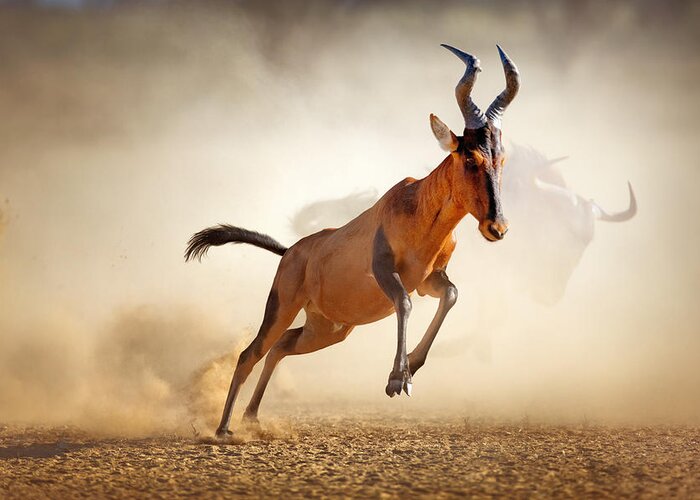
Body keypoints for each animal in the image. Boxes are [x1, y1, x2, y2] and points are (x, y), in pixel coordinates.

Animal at [186, 44, 520, 438]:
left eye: (501, 157)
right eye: (470, 156)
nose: (497, 227)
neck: (416, 204)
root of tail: (291, 251)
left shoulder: (430, 281)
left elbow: (451, 295)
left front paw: (410, 367)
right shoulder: (385, 271)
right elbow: (404, 303)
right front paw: (398, 380)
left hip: (328, 330)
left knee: (281, 346)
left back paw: (251, 417)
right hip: (283, 306)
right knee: (250, 352)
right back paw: (224, 429)